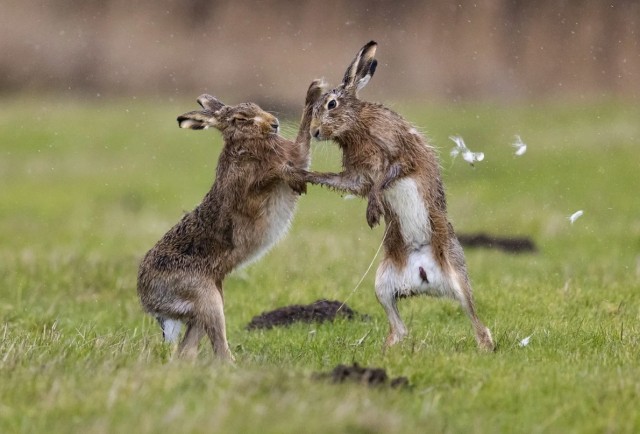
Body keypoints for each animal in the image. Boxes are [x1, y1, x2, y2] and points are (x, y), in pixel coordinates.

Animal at [137, 85, 322, 361]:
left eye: (257, 106)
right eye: (241, 119)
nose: (274, 124)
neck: (243, 147)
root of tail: (147, 299)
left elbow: (301, 146)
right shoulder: (249, 192)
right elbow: (276, 171)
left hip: (207, 301)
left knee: (186, 351)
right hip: (205, 296)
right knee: (217, 348)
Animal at [303, 41, 495, 351]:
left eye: (332, 104)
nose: (315, 132)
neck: (356, 124)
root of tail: (422, 276)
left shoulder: (400, 156)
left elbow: (382, 181)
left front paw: (373, 211)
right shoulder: (357, 174)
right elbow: (347, 183)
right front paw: (301, 174)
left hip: (457, 276)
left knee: (477, 322)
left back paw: (485, 348)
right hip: (382, 285)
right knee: (399, 327)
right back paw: (386, 351)